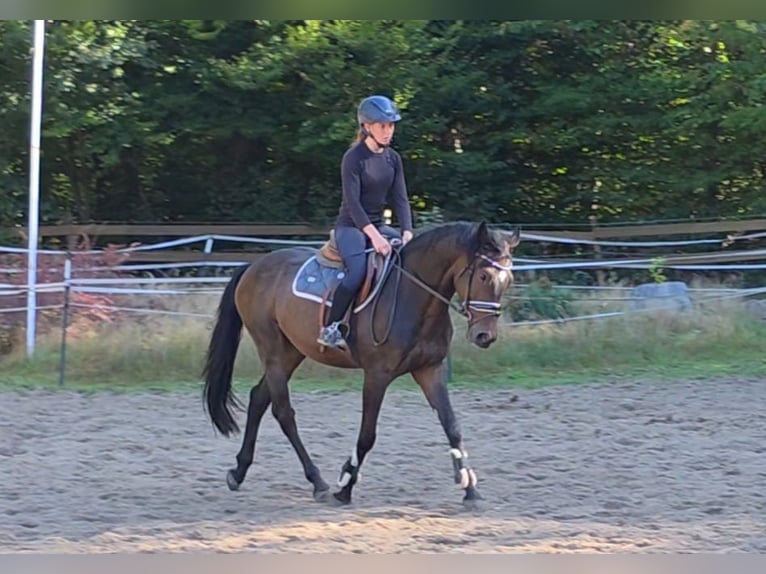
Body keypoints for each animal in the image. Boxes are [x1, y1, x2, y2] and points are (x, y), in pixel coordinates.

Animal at [202, 220, 521, 506]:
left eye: (508, 281)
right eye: (483, 276)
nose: (485, 336)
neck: (412, 295)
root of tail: (253, 266)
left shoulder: (429, 370)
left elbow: (452, 426)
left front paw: (470, 489)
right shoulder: (377, 375)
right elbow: (367, 435)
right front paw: (345, 487)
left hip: (291, 352)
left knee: (259, 399)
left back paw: (239, 472)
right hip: (273, 352)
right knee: (284, 413)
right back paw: (318, 481)